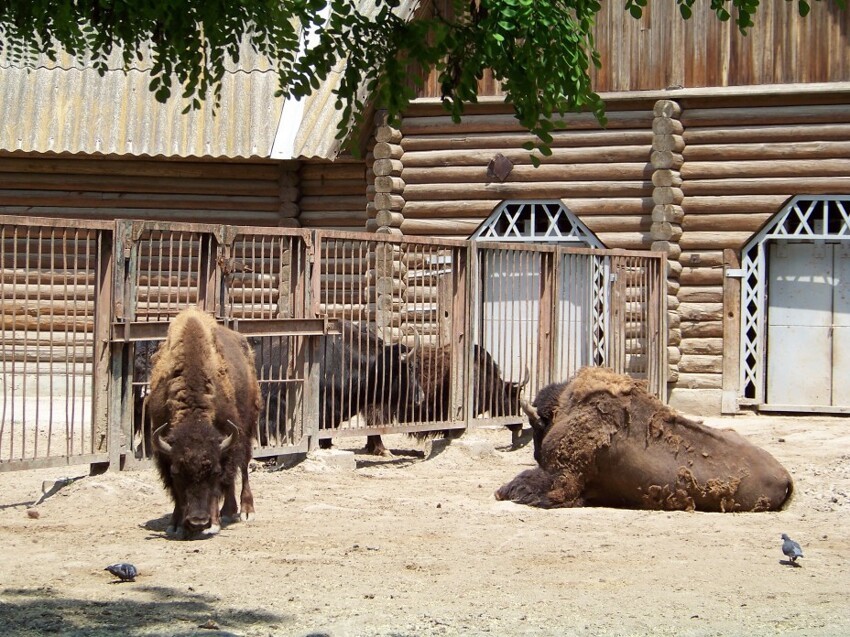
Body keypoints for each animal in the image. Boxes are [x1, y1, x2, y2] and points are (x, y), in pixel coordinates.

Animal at [147, 308, 258, 536]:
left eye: (213, 471)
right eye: (177, 472)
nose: (198, 521)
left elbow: (220, 484)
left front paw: (213, 524)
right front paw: (175, 524)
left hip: (248, 426)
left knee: (243, 467)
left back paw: (245, 511)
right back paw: (228, 511)